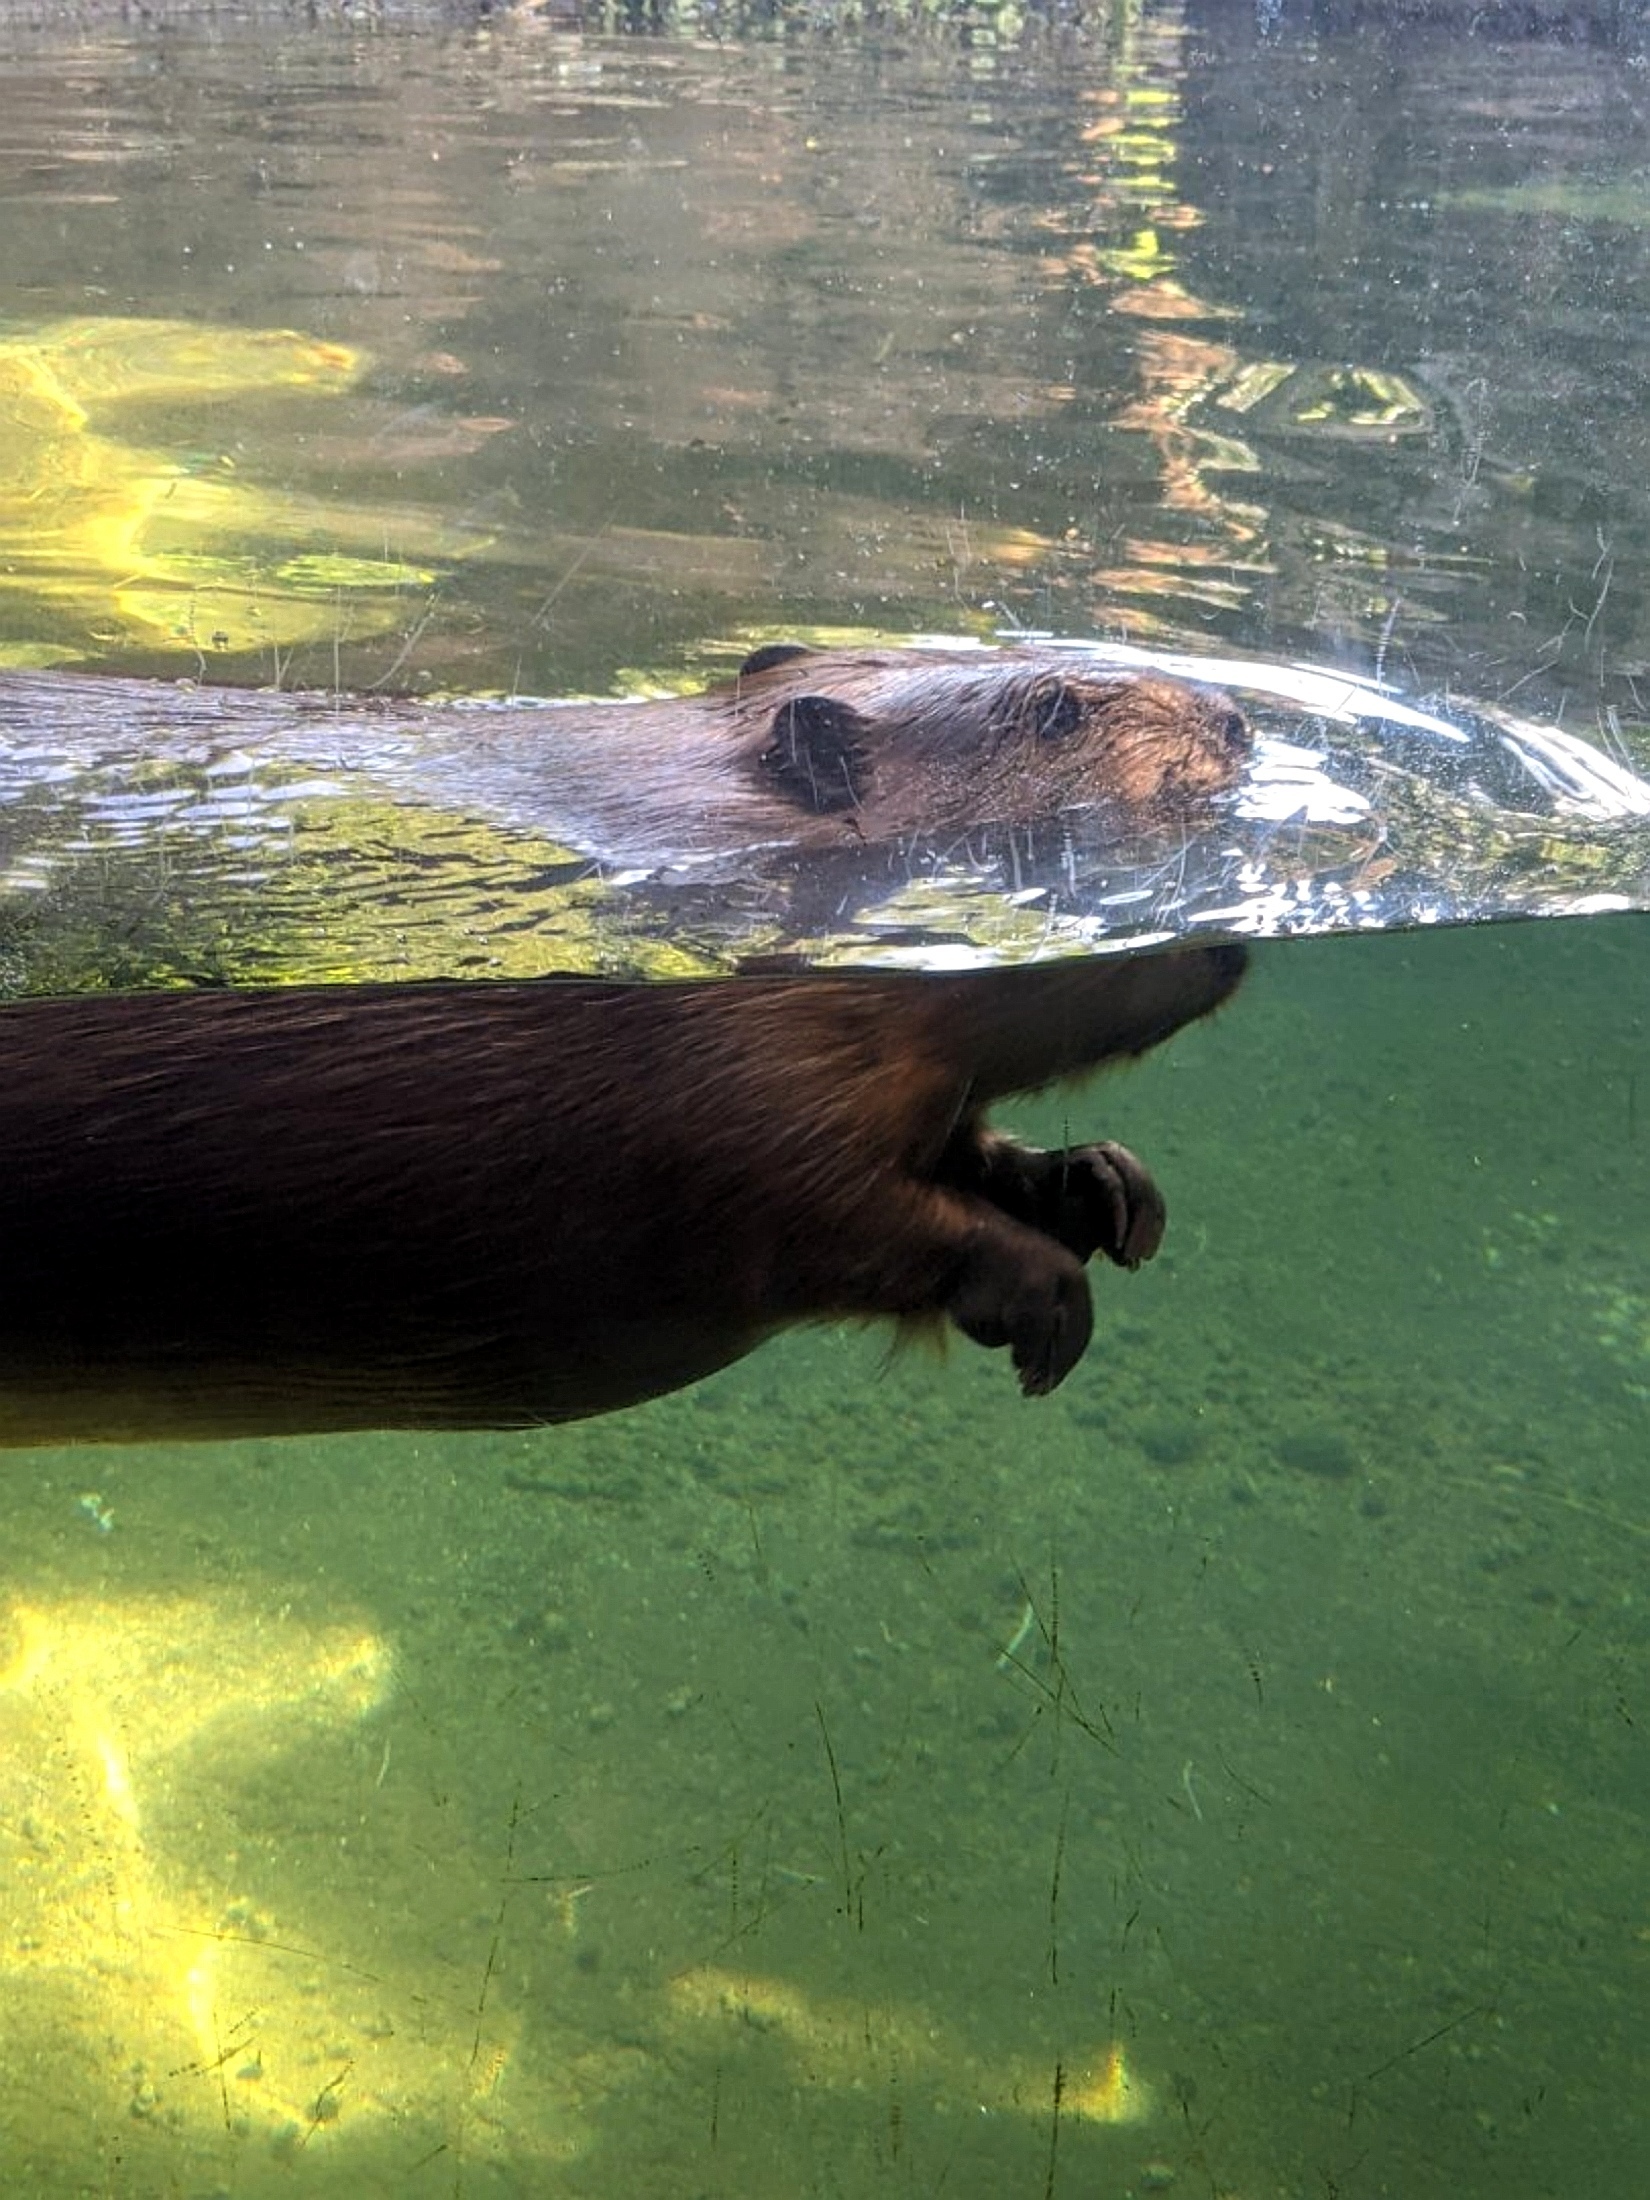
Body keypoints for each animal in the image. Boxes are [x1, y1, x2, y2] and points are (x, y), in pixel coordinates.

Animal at [0, 941, 1249, 1443]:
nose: (1235, 942)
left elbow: (962, 1157)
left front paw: (1111, 1191)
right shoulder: (739, 1087)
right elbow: (845, 1214)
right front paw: (1049, 1305)